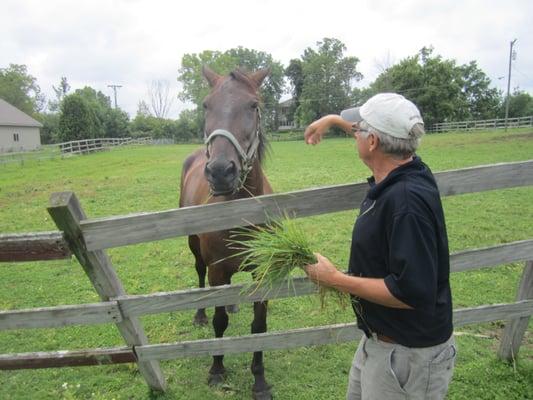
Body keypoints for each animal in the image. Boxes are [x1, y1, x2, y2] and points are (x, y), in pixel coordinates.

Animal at [179, 66, 272, 400]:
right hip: (195, 249)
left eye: (253, 106)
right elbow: (220, 323)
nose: (220, 171)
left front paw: (260, 381)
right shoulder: (217, 271)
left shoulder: (263, 272)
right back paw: (199, 314)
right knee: (199, 275)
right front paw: (217, 369)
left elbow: (259, 326)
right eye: (206, 105)